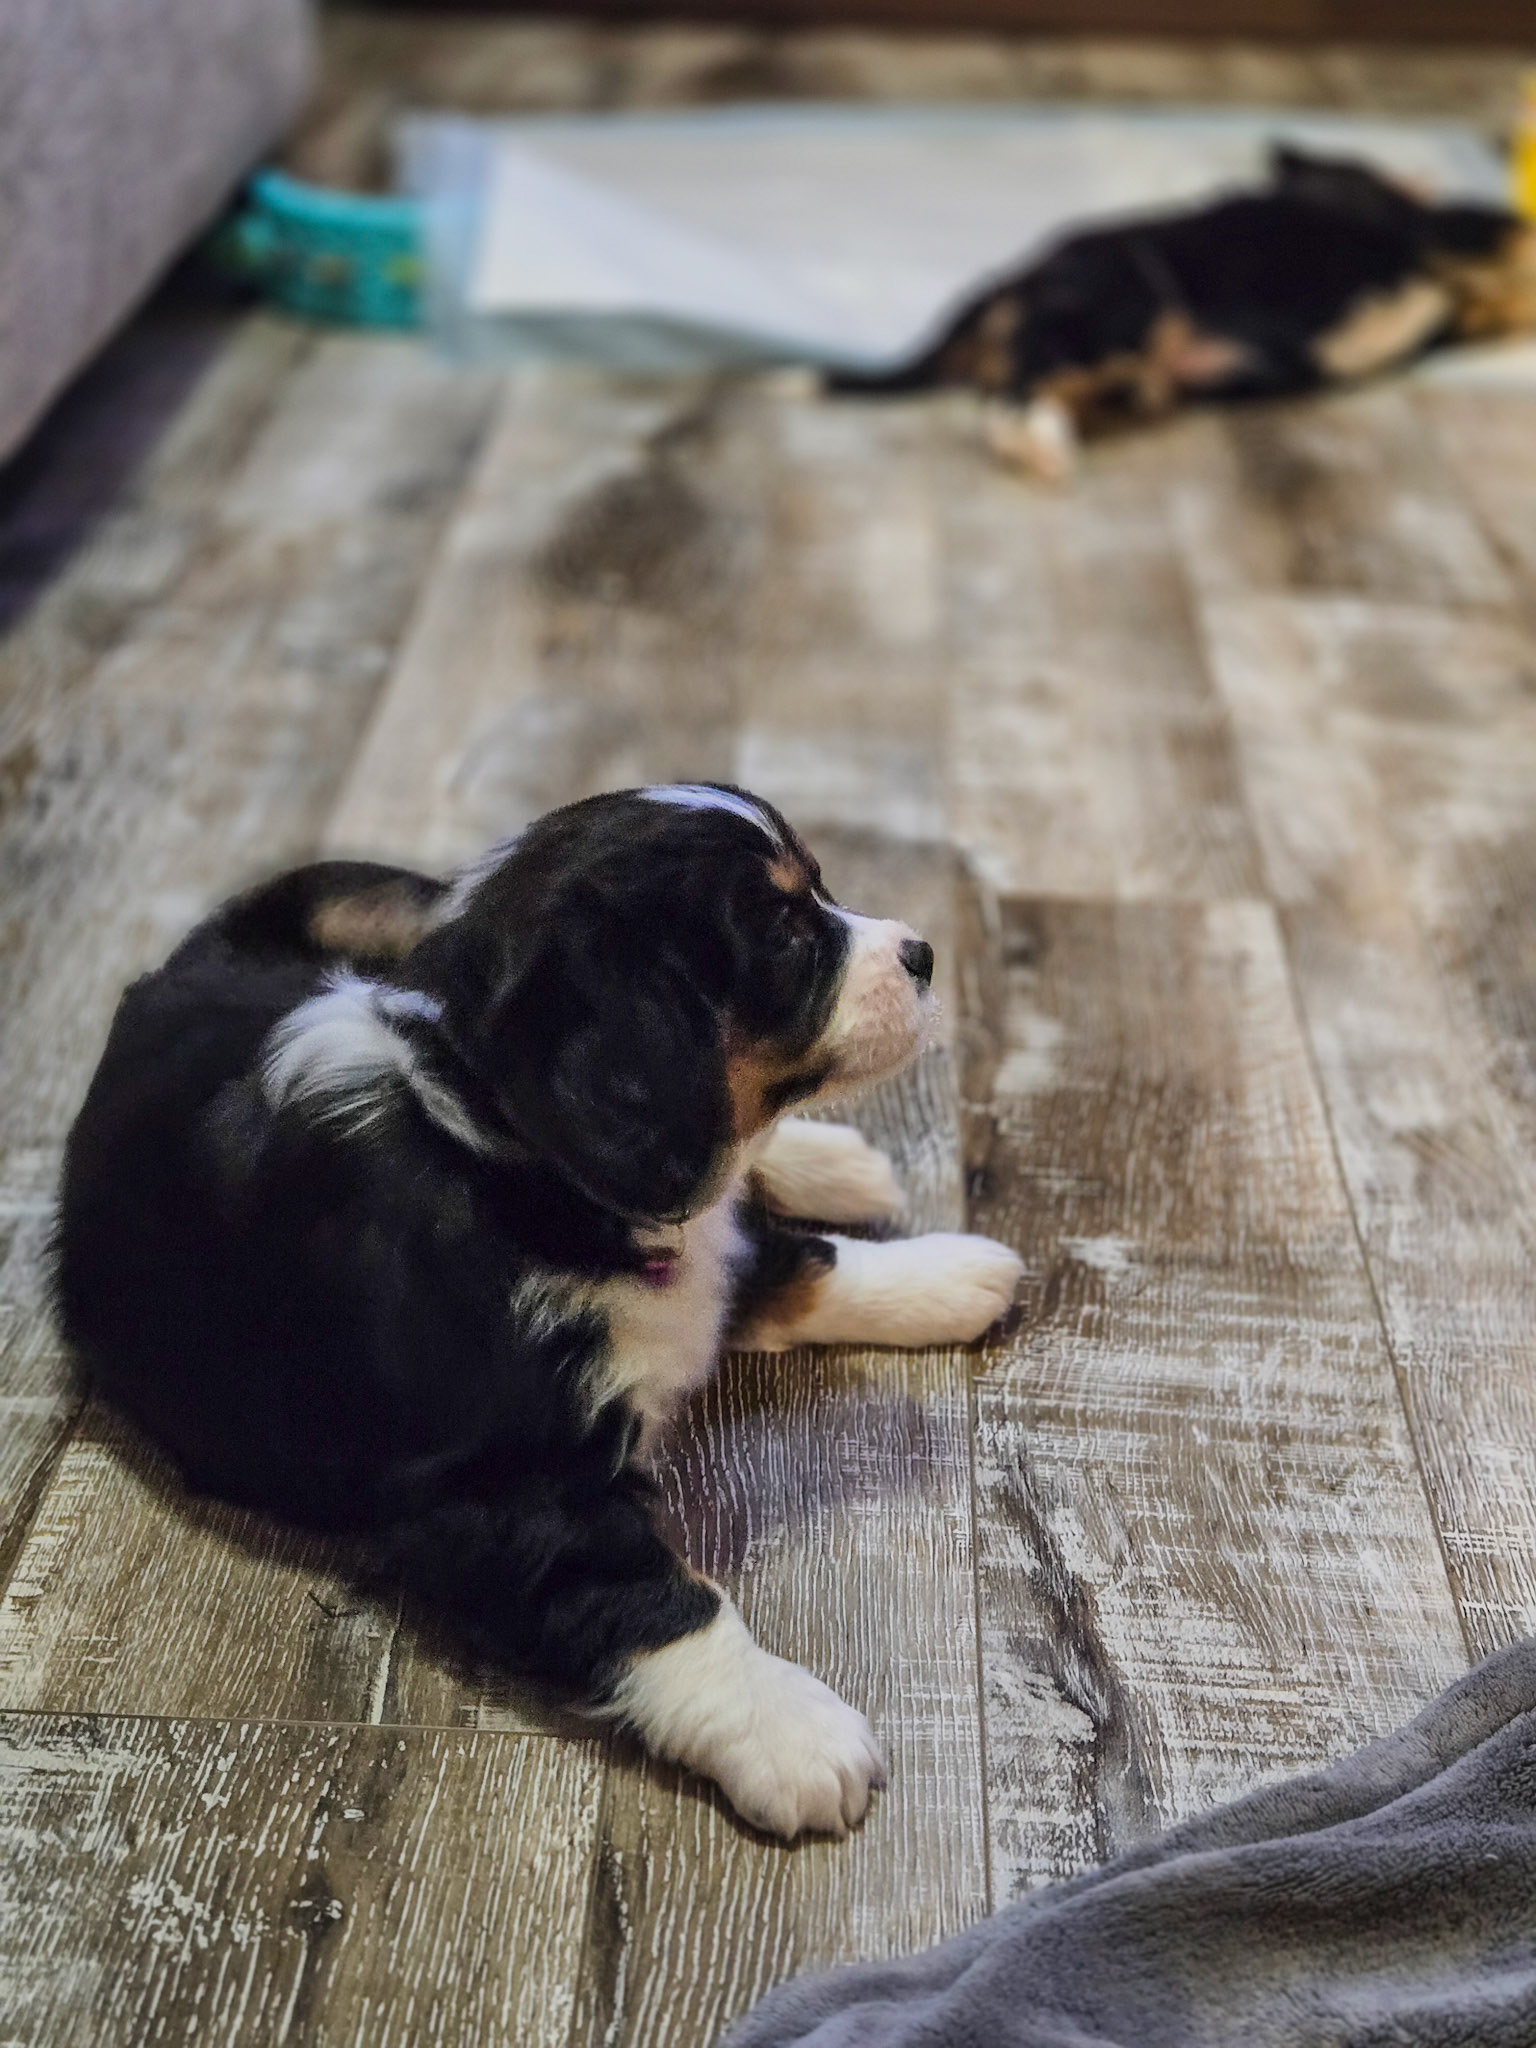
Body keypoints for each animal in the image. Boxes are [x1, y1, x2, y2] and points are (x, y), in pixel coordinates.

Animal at [55, 785, 1024, 1838]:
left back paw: (833, 1161)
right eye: (783, 934)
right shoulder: (505, 1492)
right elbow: (657, 1598)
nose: (922, 953)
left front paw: (949, 1272)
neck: (510, 1166)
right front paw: (791, 1734)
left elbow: (785, 1258)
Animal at [840, 145, 1536, 480]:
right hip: (1118, 312)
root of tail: (1002, 283)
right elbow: (1515, 235)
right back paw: (1045, 447)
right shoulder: (1435, 231)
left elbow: (1510, 297)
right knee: (1011, 398)